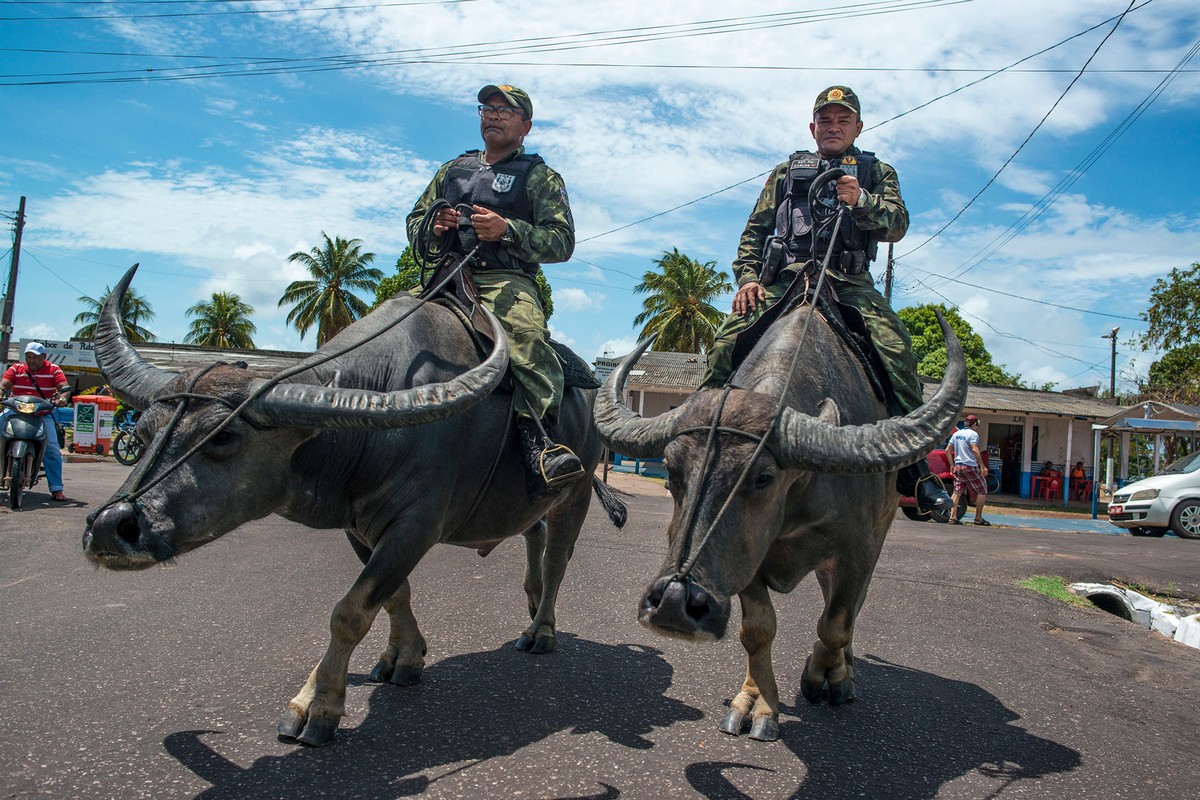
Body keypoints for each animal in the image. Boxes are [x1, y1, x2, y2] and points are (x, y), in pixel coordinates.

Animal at [84, 266, 628, 748]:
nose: (112, 526)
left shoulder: (415, 526)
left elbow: (349, 611)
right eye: (143, 432)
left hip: (577, 490)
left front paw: (314, 706)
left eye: (225, 436)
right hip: (529, 499)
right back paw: (532, 602)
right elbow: (393, 594)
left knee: (557, 558)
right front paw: (404, 658)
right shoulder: (359, 526)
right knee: (533, 534)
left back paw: (541, 629)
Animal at [595, 303, 969, 743]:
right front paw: (755, 703)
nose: (673, 601)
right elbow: (758, 630)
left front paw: (827, 677)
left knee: (848, 609)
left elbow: (836, 622)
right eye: (671, 472)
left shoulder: (859, 548)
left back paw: (844, 670)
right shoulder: (746, 559)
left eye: (762, 477)